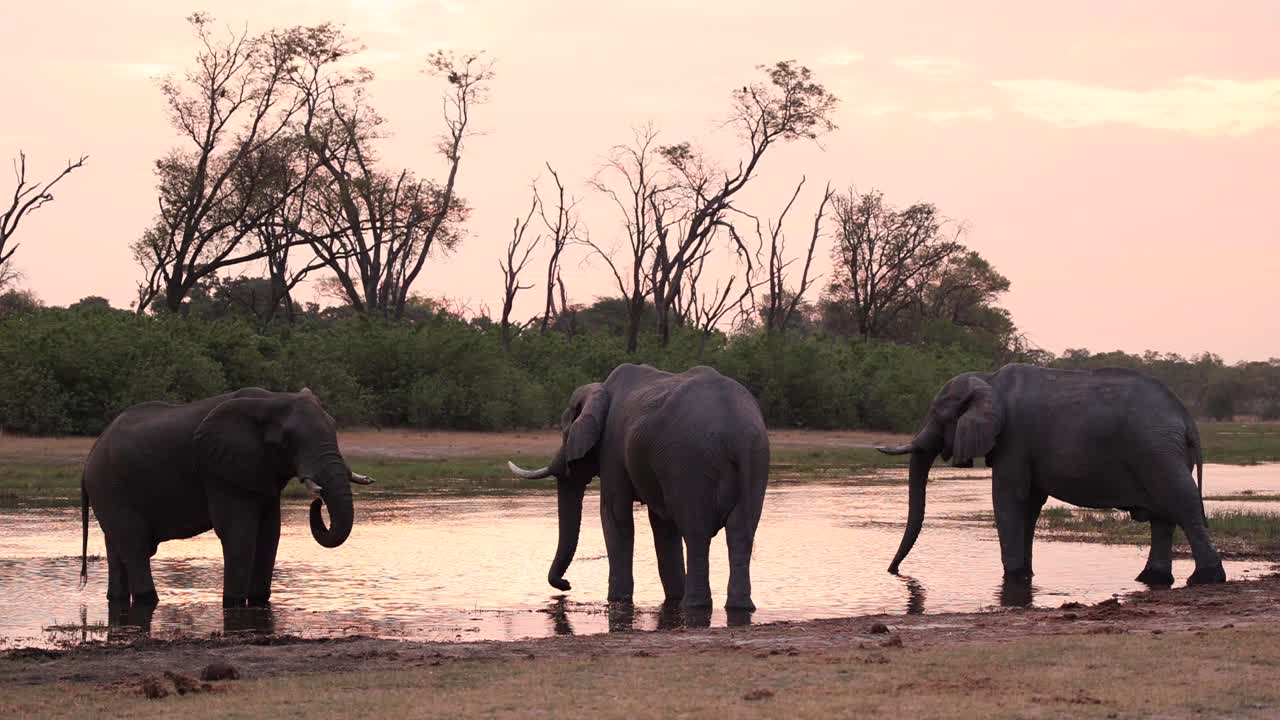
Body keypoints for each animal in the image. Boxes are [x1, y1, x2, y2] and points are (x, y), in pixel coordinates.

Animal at [80, 387, 373, 609]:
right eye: (287, 440)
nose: (318, 499)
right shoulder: (218, 469)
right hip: (109, 487)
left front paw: (258, 602)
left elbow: (270, 532)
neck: (272, 399)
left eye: (334, 427)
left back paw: (117, 599)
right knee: (135, 545)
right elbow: (239, 531)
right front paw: (233, 603)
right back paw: (148, 600)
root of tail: (90, 456)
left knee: (118, 548)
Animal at [507, 364, 769, 611]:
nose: (566, 585)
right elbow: (662, 526)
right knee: (740, 532)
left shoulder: (612, 447)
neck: (601, 388)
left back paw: (694, 606)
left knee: (697, 532)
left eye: (564, 432)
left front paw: (617, 600)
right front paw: (672, 597)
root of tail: (737, 435)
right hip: (755, 461)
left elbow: (615, 515)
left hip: (691, 462)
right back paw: (738, 607)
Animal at [877, 363, 1225, 586]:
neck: (987, 380)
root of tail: (1187, 419)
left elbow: (1009, 500)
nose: (893, 571)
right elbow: (1029, 505)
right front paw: (1024, 576)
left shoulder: (1015, 439)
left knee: (1181, 503)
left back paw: (1205, 579)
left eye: (938, 416)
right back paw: (1152, 579)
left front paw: (1014, 577)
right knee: (1162, 515)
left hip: (1156, 449)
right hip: (1162, 451)